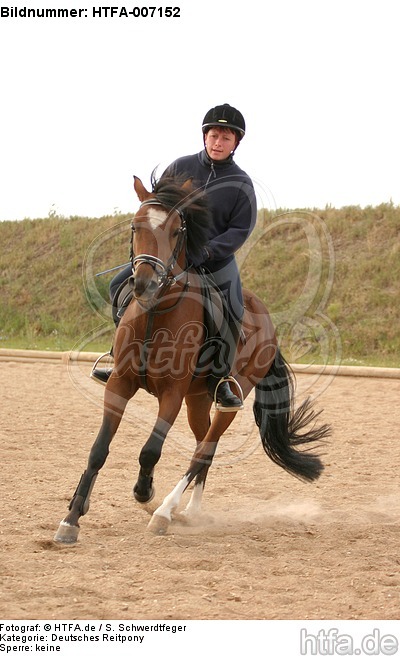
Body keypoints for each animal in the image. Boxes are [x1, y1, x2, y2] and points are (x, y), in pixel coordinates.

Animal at [54, 174, 331, 542]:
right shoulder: (119, 384)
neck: (156, 312)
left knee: (205, 449)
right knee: (203, 446)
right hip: (197, 399)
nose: (145, 283)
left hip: (228, 399)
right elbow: (98, 450)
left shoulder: (171, 394)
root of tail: (269, 322)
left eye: (175, 231)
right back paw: (189, 511)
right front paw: (72, 518)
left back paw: (165, 512)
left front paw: (145, 493)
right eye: (135, 225)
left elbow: (150, 450)